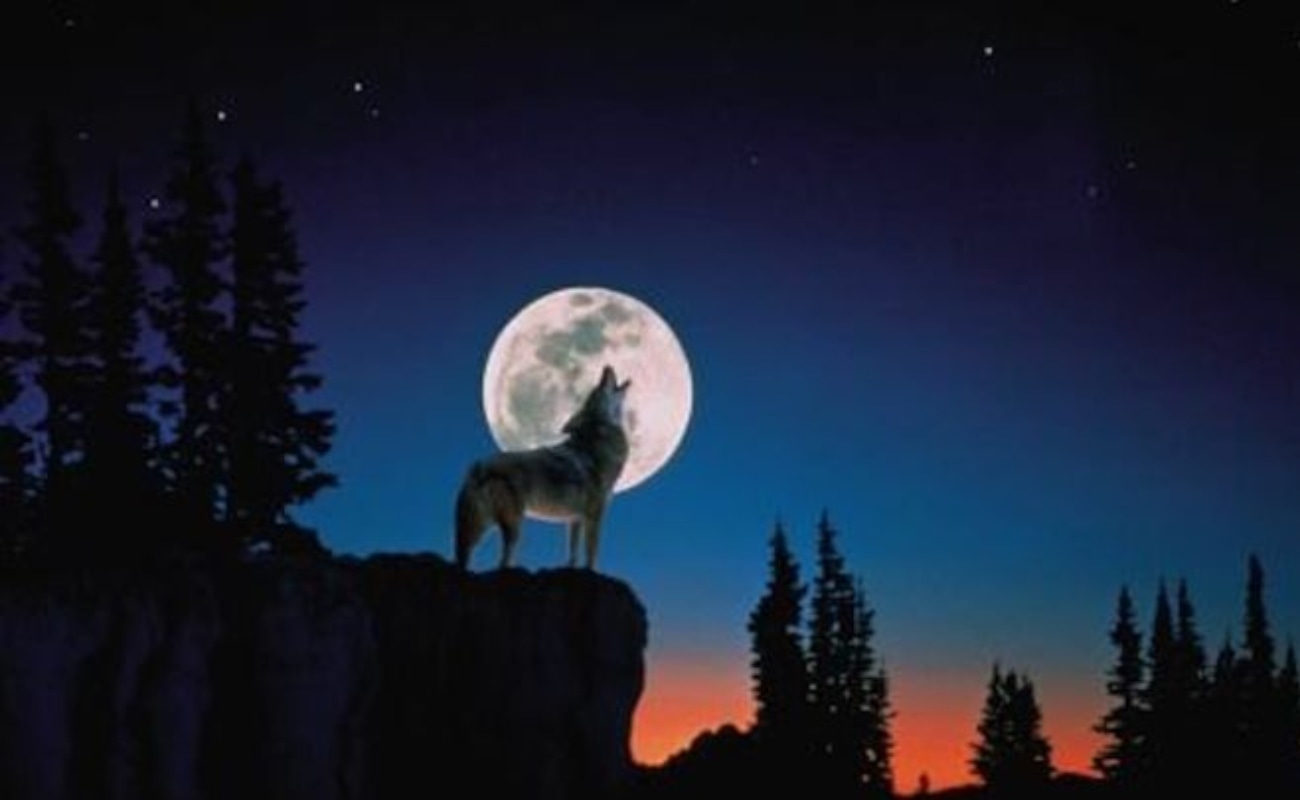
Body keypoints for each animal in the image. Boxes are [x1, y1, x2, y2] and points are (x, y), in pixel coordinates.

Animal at [455, 365, 631, 571]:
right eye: (598, 390)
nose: (605, 368)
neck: (596, 445)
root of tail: (479, 466)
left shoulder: (575, 518)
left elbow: (573, 551)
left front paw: (570, 567)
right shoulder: (594, 515)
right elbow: (592, 554)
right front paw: (592, 572)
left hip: (479, 528)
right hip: (513, 525)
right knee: (502, 561)